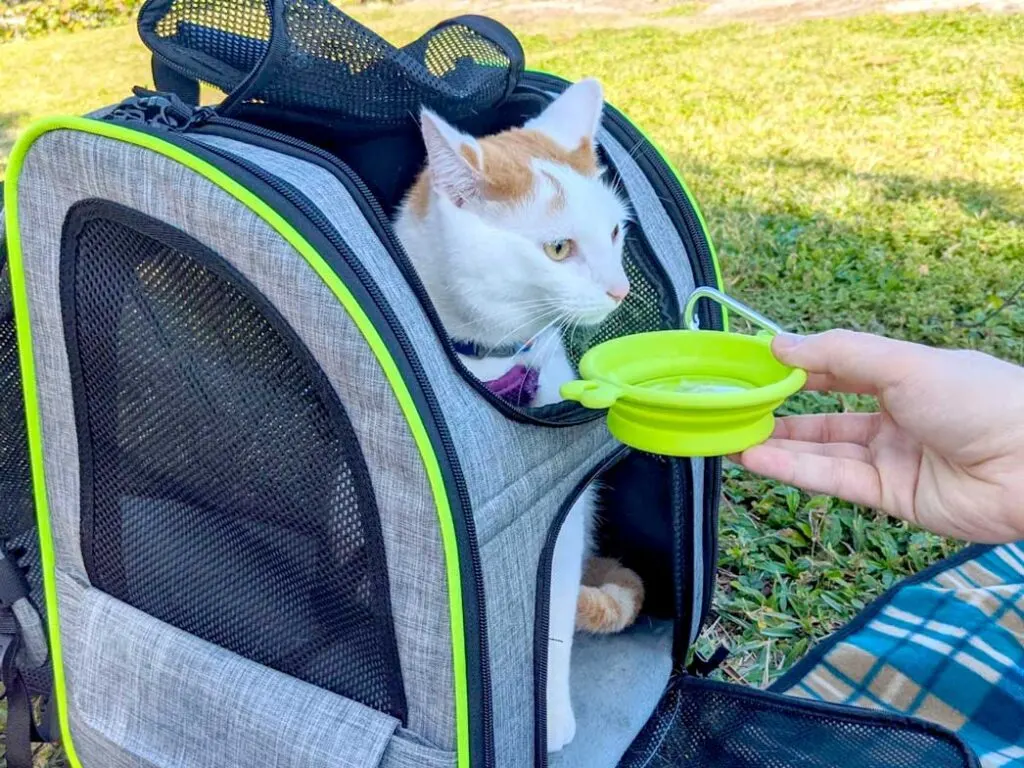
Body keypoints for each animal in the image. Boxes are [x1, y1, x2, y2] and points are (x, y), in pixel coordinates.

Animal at [395, 79, 643, 757]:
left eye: (615, 232)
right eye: (558, 248)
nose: (620, 290)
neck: (497, 358)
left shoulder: (564, 527)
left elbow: (551, 616)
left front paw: (548, 716)